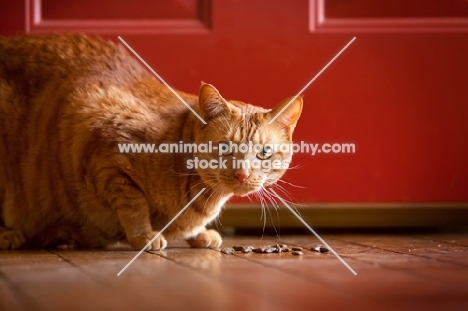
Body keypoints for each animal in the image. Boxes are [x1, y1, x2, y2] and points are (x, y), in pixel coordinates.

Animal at [0, 34, 302, 251]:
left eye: (264, 153)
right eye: (225, 147)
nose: (242, 174)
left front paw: (200, 235)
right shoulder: (105, 151)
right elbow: (134, 206)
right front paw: (144, 235)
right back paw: (12, 236)